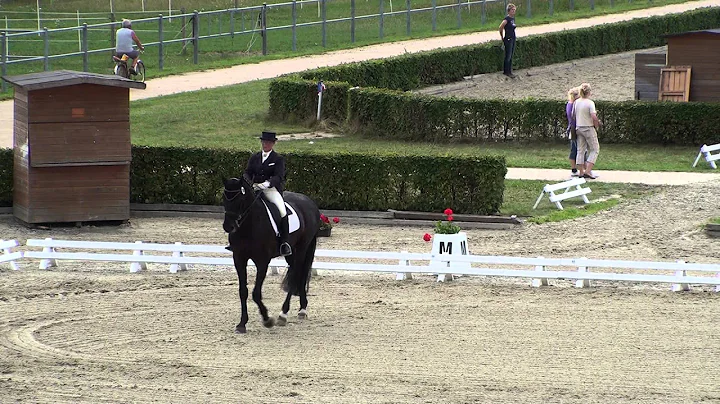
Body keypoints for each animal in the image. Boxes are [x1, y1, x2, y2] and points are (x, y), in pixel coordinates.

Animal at [221, 175, 320, 332]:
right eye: (224, 198)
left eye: (240, 200)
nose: (228, 226)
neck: (249, 225)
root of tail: (309, 202)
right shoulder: (239, 258)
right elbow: (243, 291)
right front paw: (242, 324)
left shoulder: (262, 261)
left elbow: (256, 293)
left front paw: (267, 319)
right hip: (291, 253)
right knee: (297, 273)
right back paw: (302, 309)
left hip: (302, 248)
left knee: (296, 274)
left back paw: (283, 314)